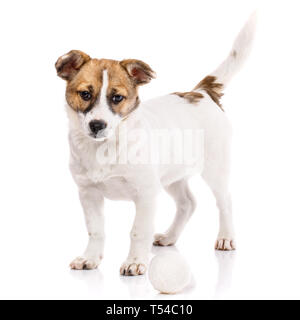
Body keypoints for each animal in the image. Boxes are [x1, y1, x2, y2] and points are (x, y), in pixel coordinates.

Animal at [55, 14, 255, 276]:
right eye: (85, 94)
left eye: (117, 97)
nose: (97, 125)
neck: (105, 148)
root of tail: (200, 92)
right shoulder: (88, 194)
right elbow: (95, 230)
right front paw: (90, 258)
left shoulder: (146, 194)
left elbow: (138, 231)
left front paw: (135, 261)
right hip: (172, 176)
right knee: (188, 203)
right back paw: (170, 237)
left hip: (215, 169)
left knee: (225, 201)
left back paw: (226, 237)